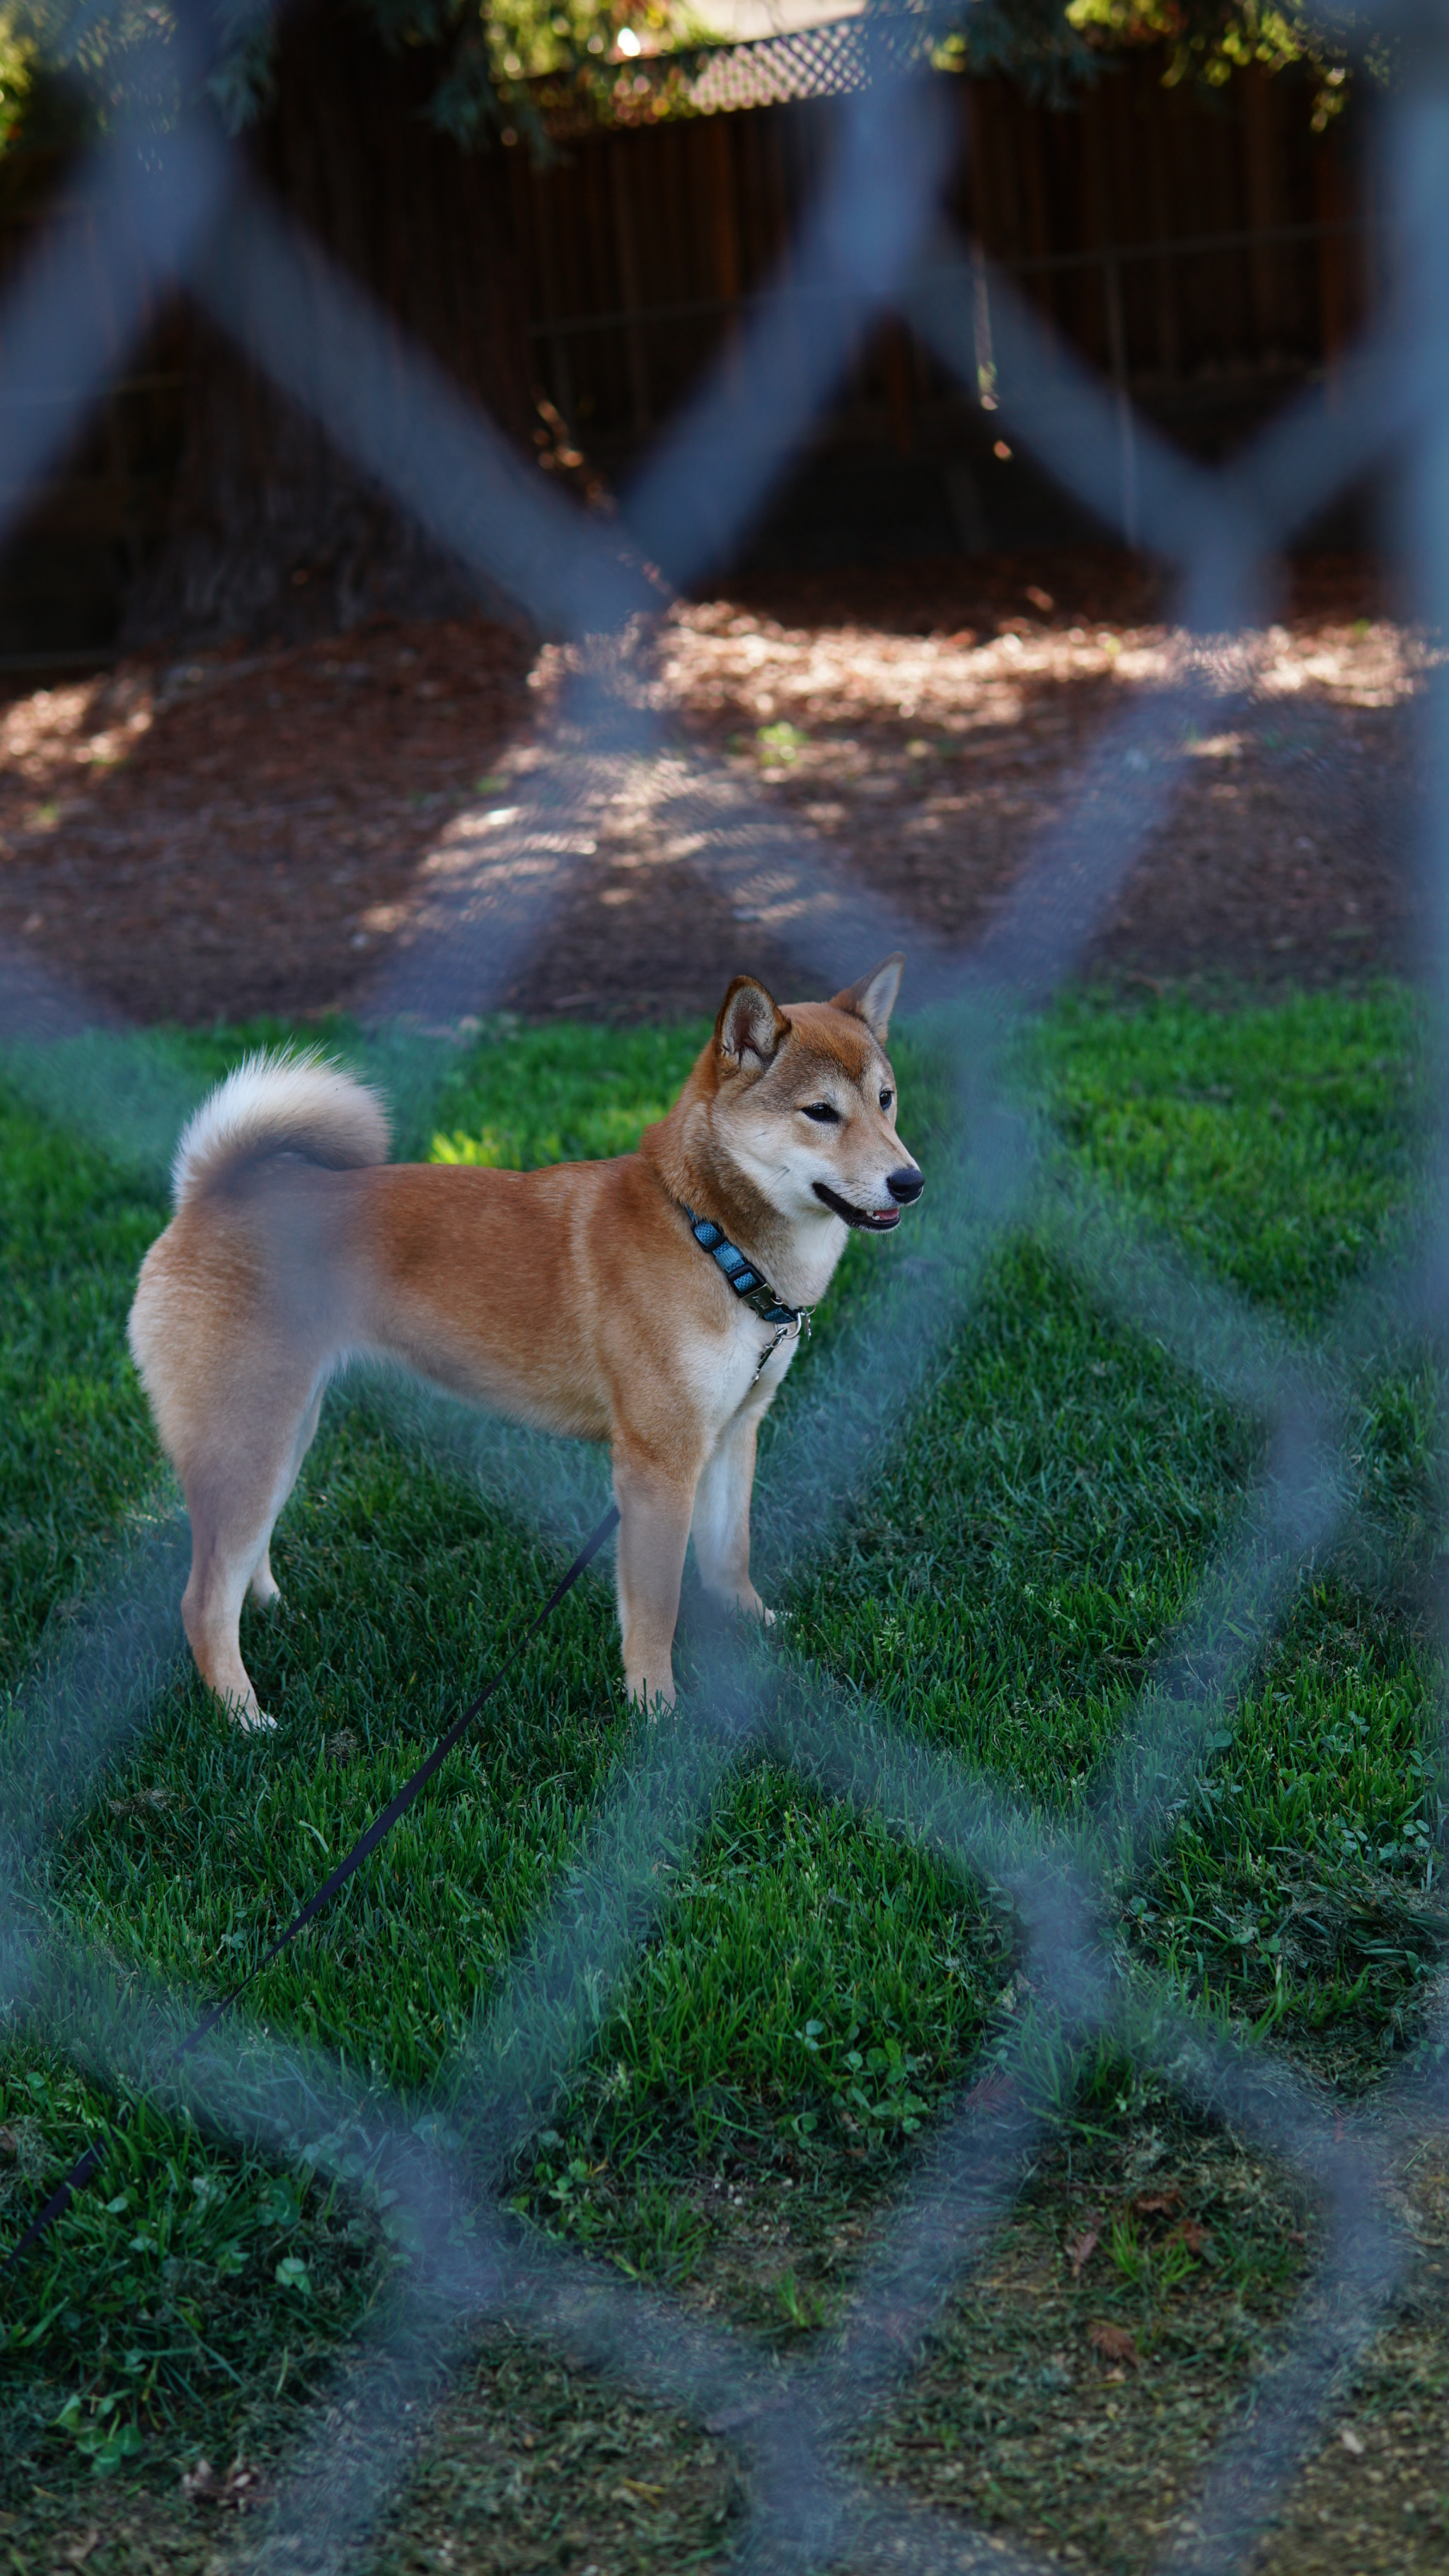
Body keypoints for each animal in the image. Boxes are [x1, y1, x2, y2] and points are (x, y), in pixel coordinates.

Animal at [130, 963, 926, 1731]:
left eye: (885, 1099)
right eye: (820, 1112)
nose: (910, 1180)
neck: (709, 1234)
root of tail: (207, 1195)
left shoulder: (734, 1431)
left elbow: (731, 1555)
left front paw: (754, 1624)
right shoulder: (657, 1463)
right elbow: (656, 1607)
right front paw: (655, 1708)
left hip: (283, 1430)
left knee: (241, 1557)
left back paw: (270, 1609)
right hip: (250, 1437)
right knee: (201, 1601)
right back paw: (245, 1717)